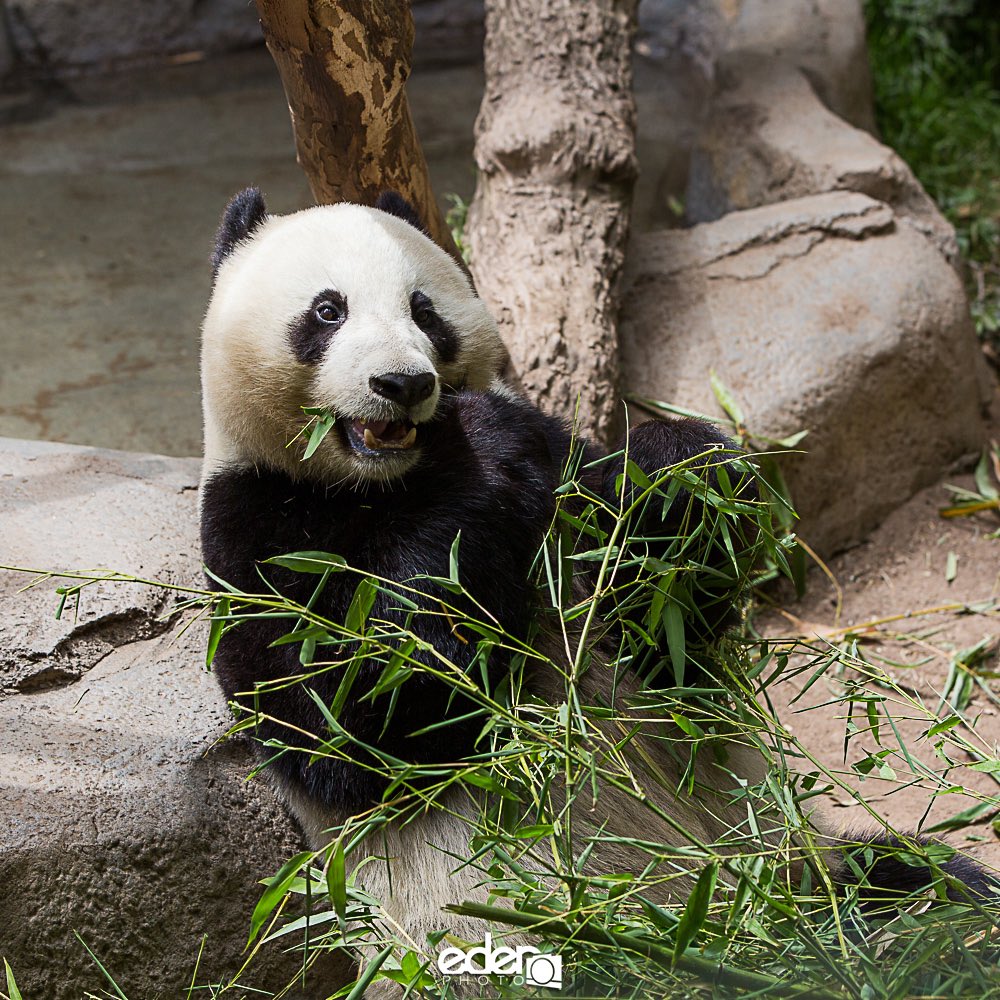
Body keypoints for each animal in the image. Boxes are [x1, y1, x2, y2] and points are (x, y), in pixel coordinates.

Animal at [199, 188, 993, 996]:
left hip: (793, 859)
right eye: (328, 311)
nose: (404, 384)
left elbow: (669, 640)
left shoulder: (566, 487)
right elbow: (361, 715)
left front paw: (682, 477)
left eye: (424, 310)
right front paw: (476, 452)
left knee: (916, 889)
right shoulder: (257, 528)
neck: (383, 485)